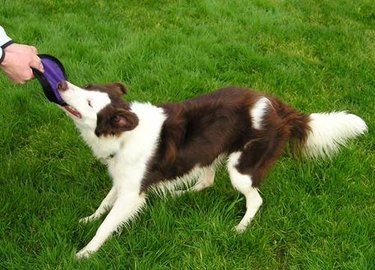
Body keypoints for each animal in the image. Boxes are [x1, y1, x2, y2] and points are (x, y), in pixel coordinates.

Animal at [56, 80, 368, 258]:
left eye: (88, 102)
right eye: (88, 87)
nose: (60, 84)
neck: (122, 133)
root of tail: (281, 108)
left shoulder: (133, 193)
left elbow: (107, 225)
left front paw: (85, 253)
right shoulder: (123, 179)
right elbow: (104, 204)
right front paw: (87, 218)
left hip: (242, 167)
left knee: (255, 199)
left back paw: (241, 227)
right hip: (210, 150)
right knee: (206, 181)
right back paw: (175, 194)